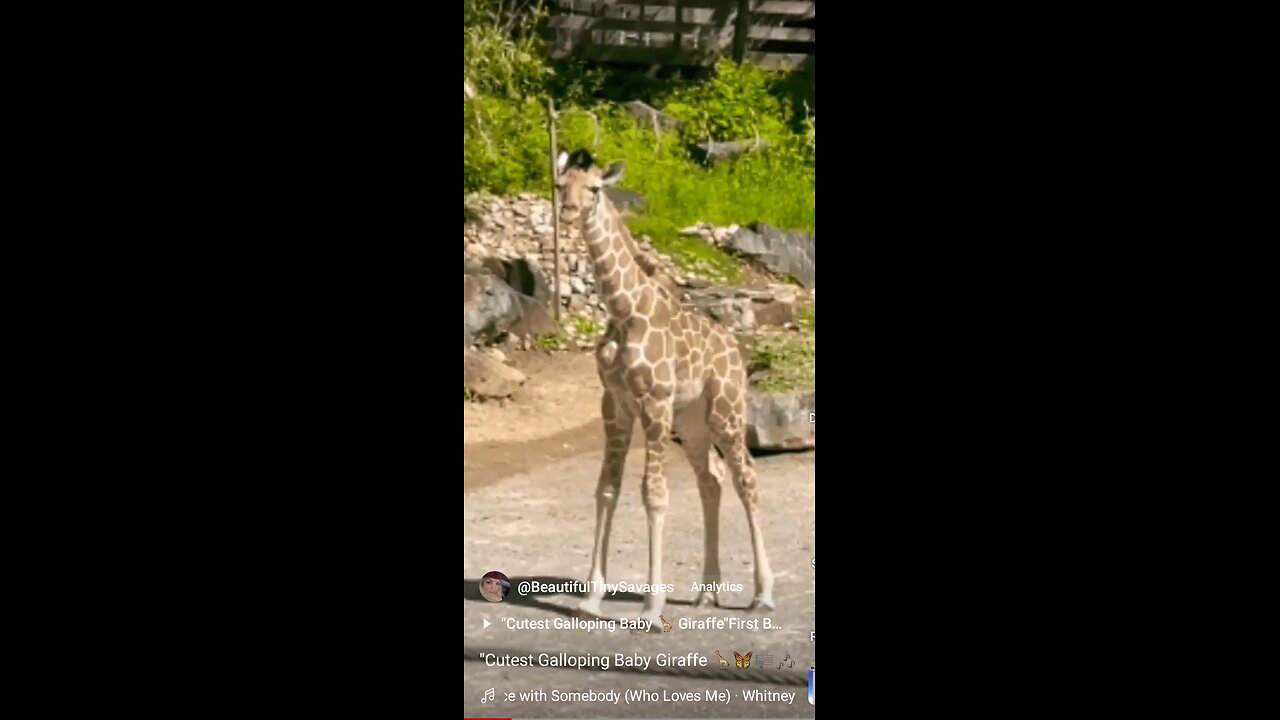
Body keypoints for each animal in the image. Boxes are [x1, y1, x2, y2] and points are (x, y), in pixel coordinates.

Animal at [555, 147, 773, 627]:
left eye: (594, 188)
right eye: (561, 185)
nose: (570, 212)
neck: (623, 309)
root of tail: (735, 347)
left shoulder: (653, 400)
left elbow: (653, 494)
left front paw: (652, 607)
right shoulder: (614, 403)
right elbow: (607, 489)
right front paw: (591, 598)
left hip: (726, 410)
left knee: (746, 477)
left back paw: (762, 594)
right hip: (690, 421)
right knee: (711, 480)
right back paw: (706, 592)